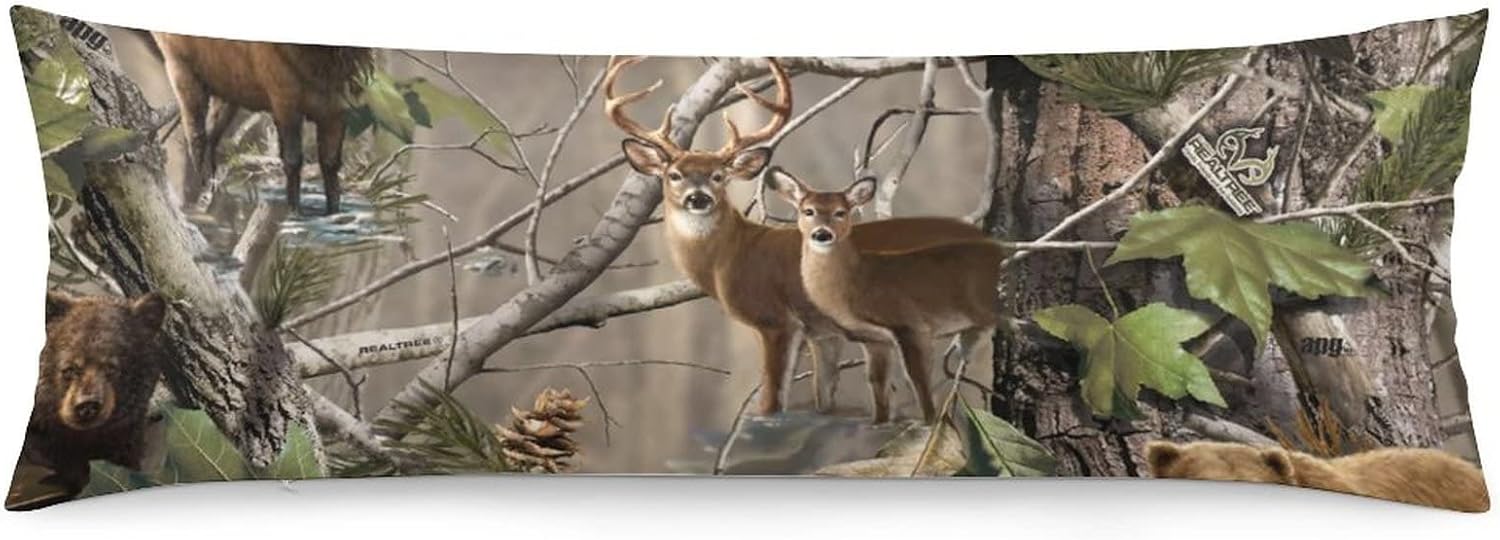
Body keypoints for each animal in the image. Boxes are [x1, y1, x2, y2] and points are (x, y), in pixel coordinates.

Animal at [151, 33, 373, 216]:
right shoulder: (284, 101)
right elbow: (292, 159)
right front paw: (295, 211)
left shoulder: (337, 109)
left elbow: (330, 163)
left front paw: (334, 212)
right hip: (183, 73)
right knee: (196, 138)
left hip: (228, 91)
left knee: (211, 140)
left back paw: (212, 193)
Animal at [766, 168, 1004, 423]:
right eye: (808, 211)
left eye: (840, 212)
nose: (822, 234)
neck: (857, 282)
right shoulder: (874, 339)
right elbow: (877, 381)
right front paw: (879, 421)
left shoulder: (910, 324)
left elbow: (918, 380)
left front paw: (930, 421)